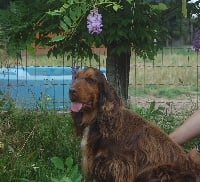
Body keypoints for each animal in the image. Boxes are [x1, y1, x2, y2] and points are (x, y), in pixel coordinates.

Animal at [69, 67, 200, 182]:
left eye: (91, 80)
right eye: (75, 77)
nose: (71, 90)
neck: (98, 120)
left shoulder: (119, 166)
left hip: (159, 170)